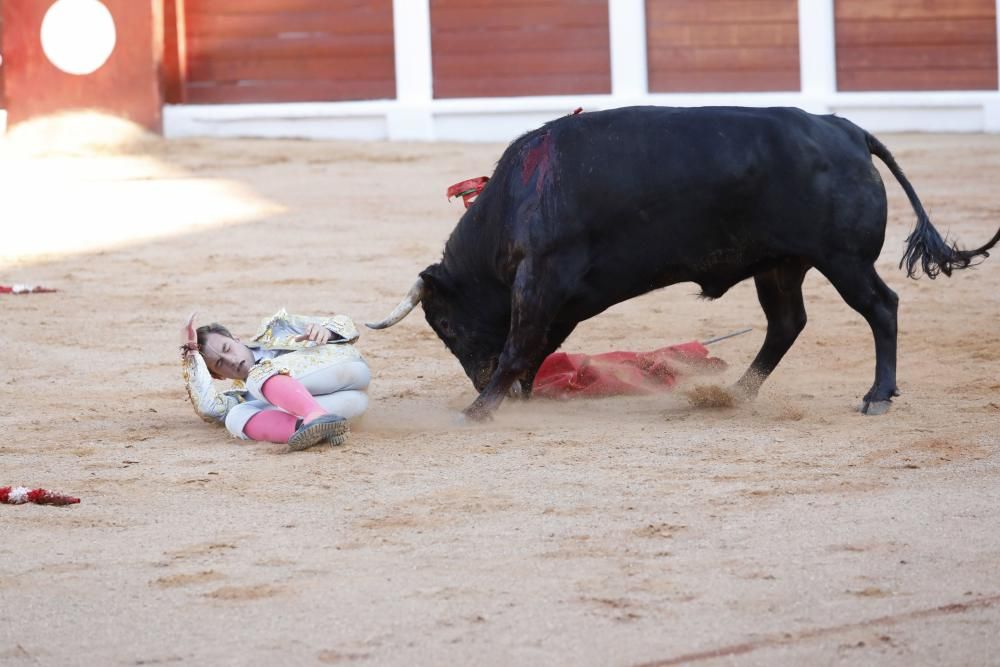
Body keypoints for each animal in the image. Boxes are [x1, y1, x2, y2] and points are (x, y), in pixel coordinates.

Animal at [368, 106, 1000, 420]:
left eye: (443, 323)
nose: (475, 378)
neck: (515, 198)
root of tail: (847, 130)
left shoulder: (541, 278)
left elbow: (522, 342)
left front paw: (483, 406)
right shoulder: (557, 297)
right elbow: (535, 345)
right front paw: (511, 396)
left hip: (842, 258)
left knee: (881, 308)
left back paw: (877, 395)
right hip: (779, 263)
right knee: (787, 323)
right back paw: (738, 393)